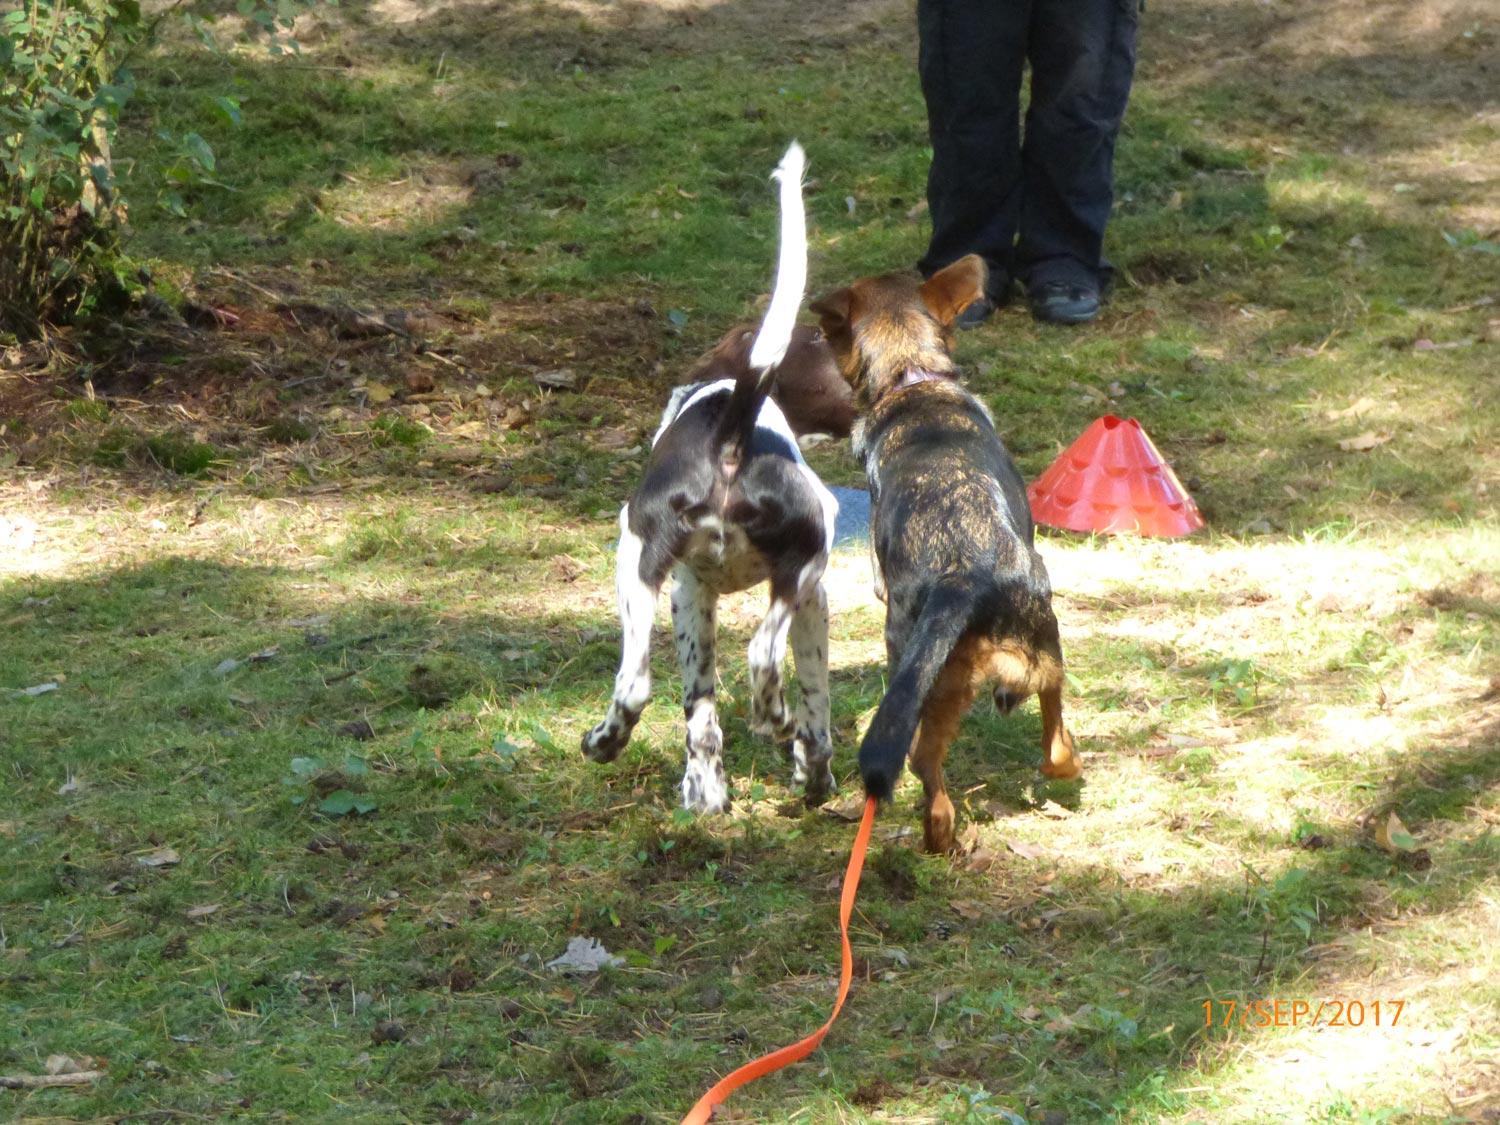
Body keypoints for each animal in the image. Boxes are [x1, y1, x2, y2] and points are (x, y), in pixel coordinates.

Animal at [579, 147, 840, 822]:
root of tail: (731, 435)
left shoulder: (688, 593)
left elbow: (698, 709)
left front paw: (707, 786)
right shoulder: (812, 597)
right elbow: (814, 704)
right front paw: (810, 770)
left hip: (635, 563)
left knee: (637, 684)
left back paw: (609, 745)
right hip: (801, 567)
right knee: (763, 661)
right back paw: (777, 726)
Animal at [810, 255, 1080, 852]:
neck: (912, 377)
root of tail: (963, 573)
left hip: (929, 673)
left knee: (921, 760)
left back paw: (936, 834)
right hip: (1043, 647)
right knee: (1052, 745)